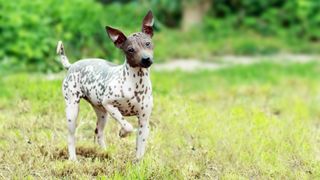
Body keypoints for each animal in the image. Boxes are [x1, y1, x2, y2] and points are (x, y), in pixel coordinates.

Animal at [56, 10, 155, 161]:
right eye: (130, 49)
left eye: (148, 43)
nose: (146, 59)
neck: (136, 84)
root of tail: (71, 65)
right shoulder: (109, 104)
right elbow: (127, 126)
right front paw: (122, 132)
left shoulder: (144, 122)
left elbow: (140, 149)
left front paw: (137, 163)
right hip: (72, 110)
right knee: (71, 137)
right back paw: (73, 159)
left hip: (102, 114)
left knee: (98, 133)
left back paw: (106, 153)